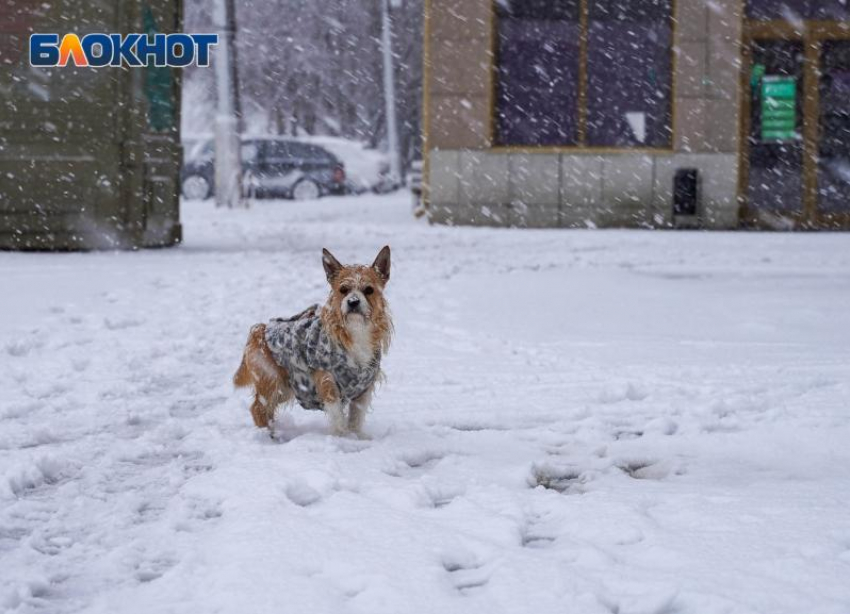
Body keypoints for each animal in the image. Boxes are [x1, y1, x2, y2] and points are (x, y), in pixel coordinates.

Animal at [232, 247, 390, 438]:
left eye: (369, 290)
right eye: (343, 289)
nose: (353, 302)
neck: (356, 330)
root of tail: (259, 330)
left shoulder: (364, 388)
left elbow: (356, 416)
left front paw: (357, 436)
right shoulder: (327, 381)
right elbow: (337, 413)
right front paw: (341, 436)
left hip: (286, 387)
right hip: (272, 380)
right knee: (258, 409)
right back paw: (270, 436)